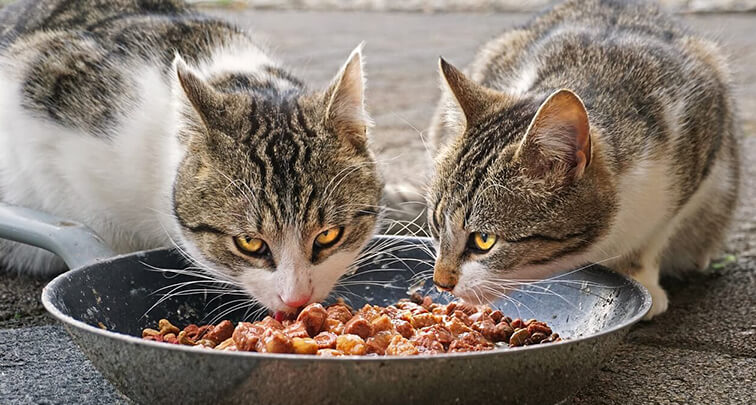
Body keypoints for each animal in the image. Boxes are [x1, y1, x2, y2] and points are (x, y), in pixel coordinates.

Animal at [426, 0, 740, 318]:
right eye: (437, 223)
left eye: (484, 240)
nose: (441, 282)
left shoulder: (701, 138)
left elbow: (655, 234)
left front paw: (640, 276)